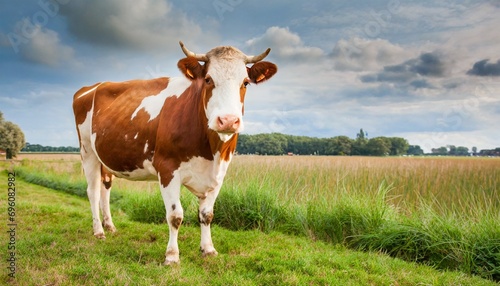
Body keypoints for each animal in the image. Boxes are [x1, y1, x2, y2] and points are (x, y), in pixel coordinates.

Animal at [72, 41, 278, 264]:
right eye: (208, 79)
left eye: (246, 83)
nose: (228, 121)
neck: (210, 152)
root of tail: (92, 87)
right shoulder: (167, 169)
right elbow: (175, 216)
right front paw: (172, 256)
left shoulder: (219, 173)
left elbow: (207, 214)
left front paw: (208, 249)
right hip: (87, 151)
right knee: (92, 191)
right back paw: (98, 231)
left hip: (105, 157)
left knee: (105, 188)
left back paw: (110, 226)